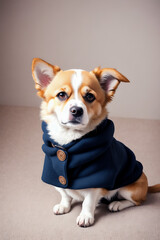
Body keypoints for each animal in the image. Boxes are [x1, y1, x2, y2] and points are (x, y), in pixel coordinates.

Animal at [31, 57, 160, 227]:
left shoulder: (95, 183)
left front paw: (86, 216)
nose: (76, 110)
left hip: (129, 189)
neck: (71, 140)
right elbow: (64, 193)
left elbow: (88, 201)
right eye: (61, 95)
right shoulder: (54, 176)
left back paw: (117, 204)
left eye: (90, 97)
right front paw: (64, 205)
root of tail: (147, 187)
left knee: (137, 202)